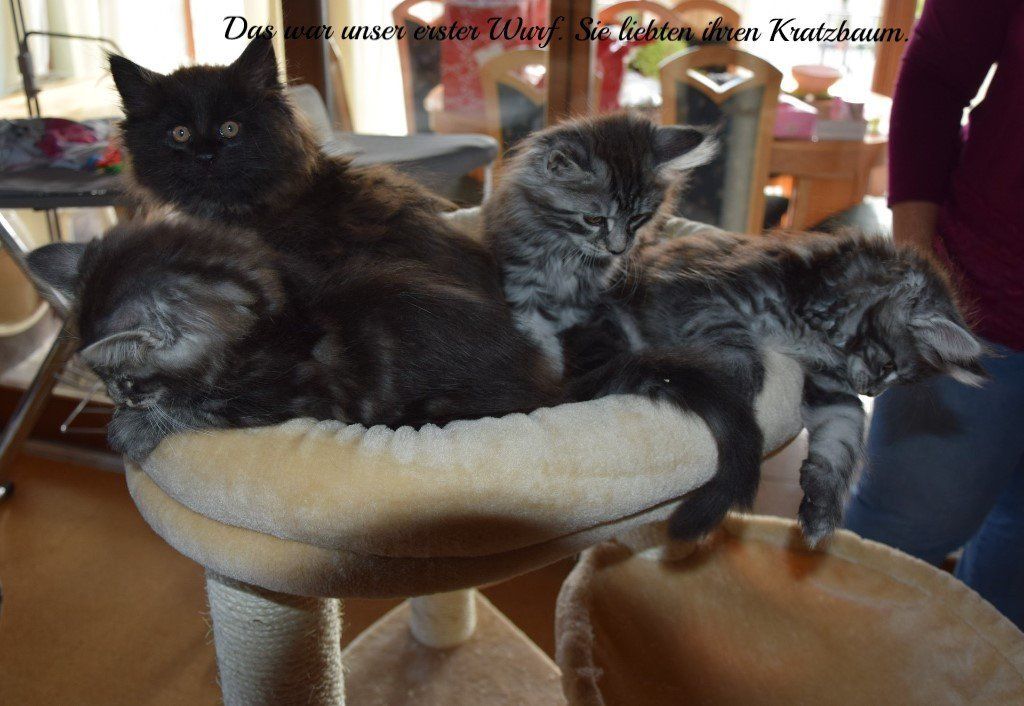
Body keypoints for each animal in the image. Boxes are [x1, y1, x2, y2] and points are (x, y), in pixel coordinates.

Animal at [28, 220, 562, 462]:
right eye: (110, 381)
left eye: (126, 381)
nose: (116, 397)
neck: (277, 316)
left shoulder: (292, 394)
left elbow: (199, 410)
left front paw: (131, 430)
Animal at [484, 113, 766, 539]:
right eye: (593, 219)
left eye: (637, 218)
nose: (618, 248)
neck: (566, 255)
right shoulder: (524, 294)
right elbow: (543, 348)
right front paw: (550, 379)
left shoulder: (588, 307)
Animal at [624, 228, 987, 544]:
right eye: (888, 366)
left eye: (898, 381)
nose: (873, 393)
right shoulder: (705, 293)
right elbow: (738, 348)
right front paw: (729, 384)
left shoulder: (833, 386)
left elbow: (841, 438)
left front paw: (821, 509)